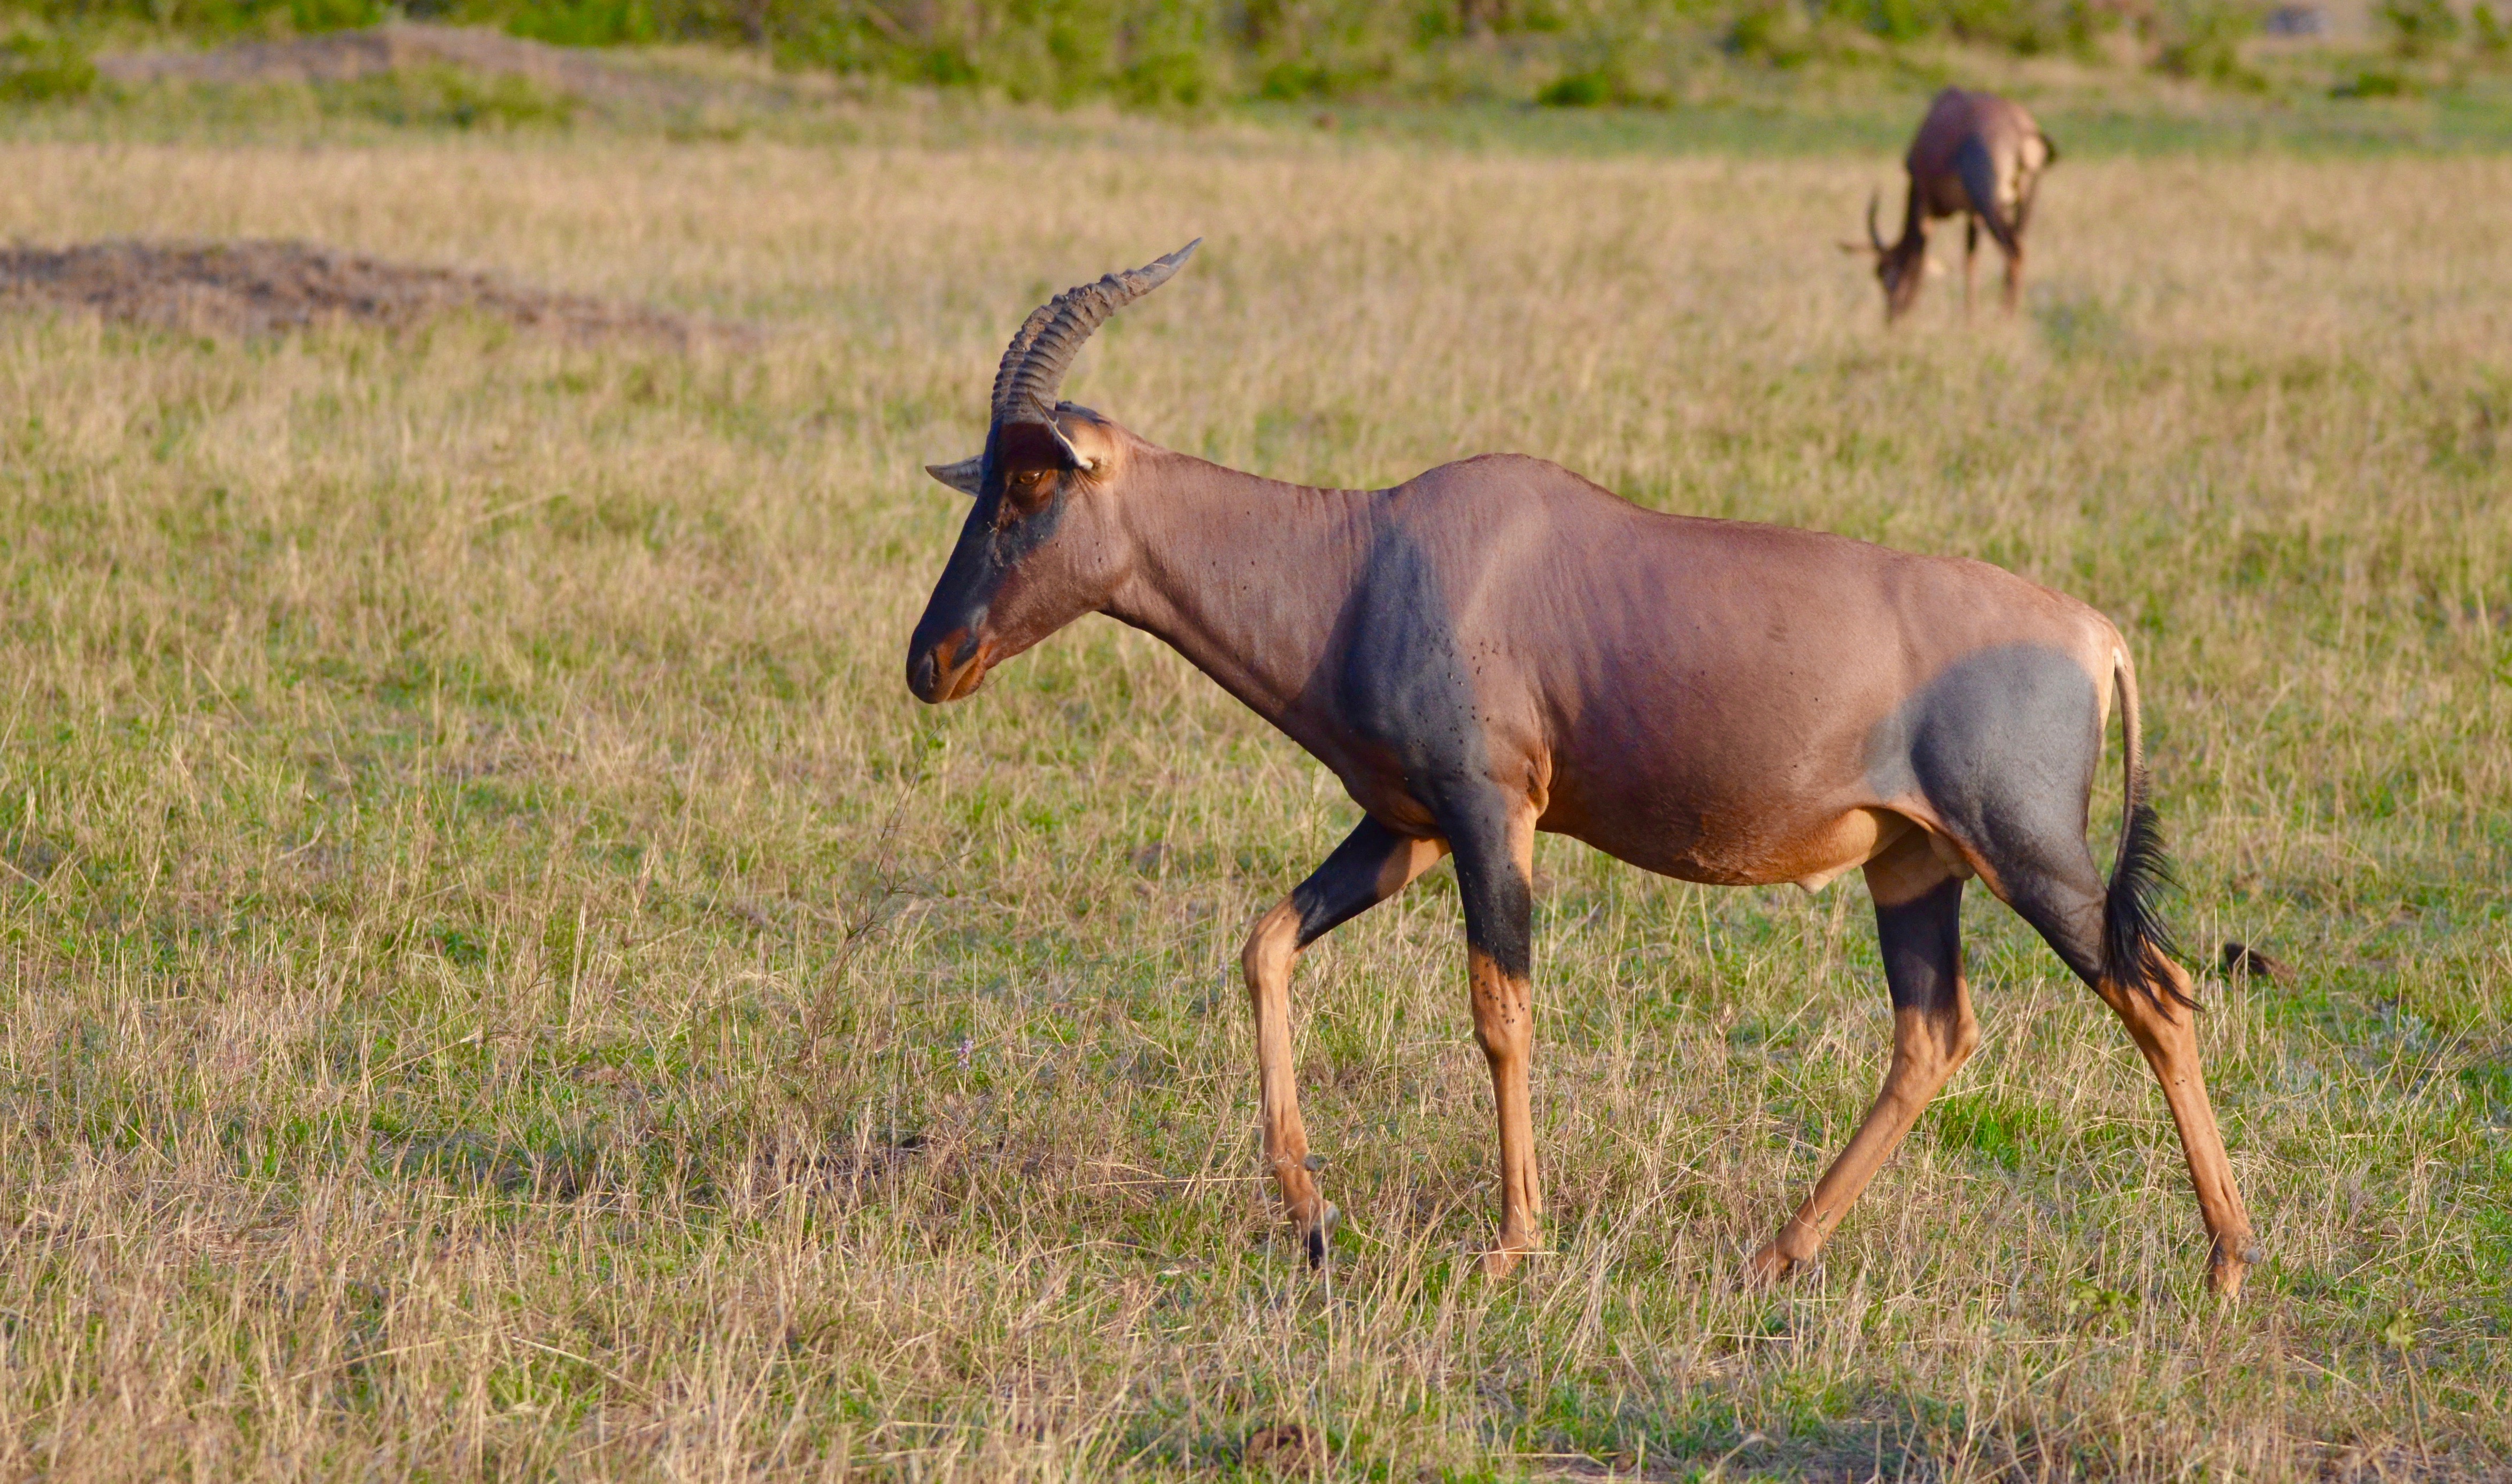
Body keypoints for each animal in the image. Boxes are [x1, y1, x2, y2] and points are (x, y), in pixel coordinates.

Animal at [904, 243, 2261, 1285]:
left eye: (1033, 477)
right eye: (986, 476)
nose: (933, 658)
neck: (1368, 552)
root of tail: (2096, 634)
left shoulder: (1488, 811)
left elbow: (1499, 1010)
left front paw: (1512, 1243)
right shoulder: (1405, 827)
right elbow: (1265, 943)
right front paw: (1308, 1213)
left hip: (2030, 852)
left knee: (2158, 992)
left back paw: (2227, 1259)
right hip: (1913, 865)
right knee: (1933, 1035)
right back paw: (1776, 1253)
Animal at [1859, 85, 2050, 321]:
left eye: (1885, 274)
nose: (1891, 319)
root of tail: (2021, 128)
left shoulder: (1924, 202)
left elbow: (1919, 256)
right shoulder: (1973, 214)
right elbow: (1970, 260)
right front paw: (1970, 318)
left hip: (1990, 206)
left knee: (2014, 252)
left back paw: (2005, 318)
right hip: (2023, 202)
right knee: (2017, 247)